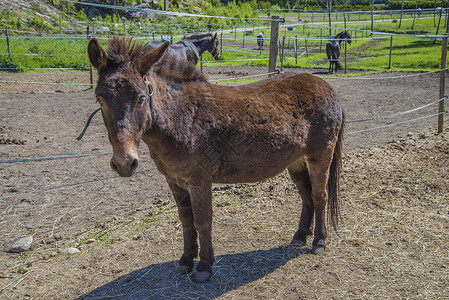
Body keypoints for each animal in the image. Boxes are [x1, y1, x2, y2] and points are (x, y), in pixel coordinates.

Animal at [88, 37, 346, 284]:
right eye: (100, 100)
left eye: (141, 98)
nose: (124, 163)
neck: (180, 118)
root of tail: (326, 87)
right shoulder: (174, 181)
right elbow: (186, 221)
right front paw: (185, 261)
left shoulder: (199, 181)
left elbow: (203, 221)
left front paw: (204, 267)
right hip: (296, 162)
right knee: (306, 196)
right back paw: (300, 236)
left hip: (320, 157)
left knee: (319, 196)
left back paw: (319, 242)